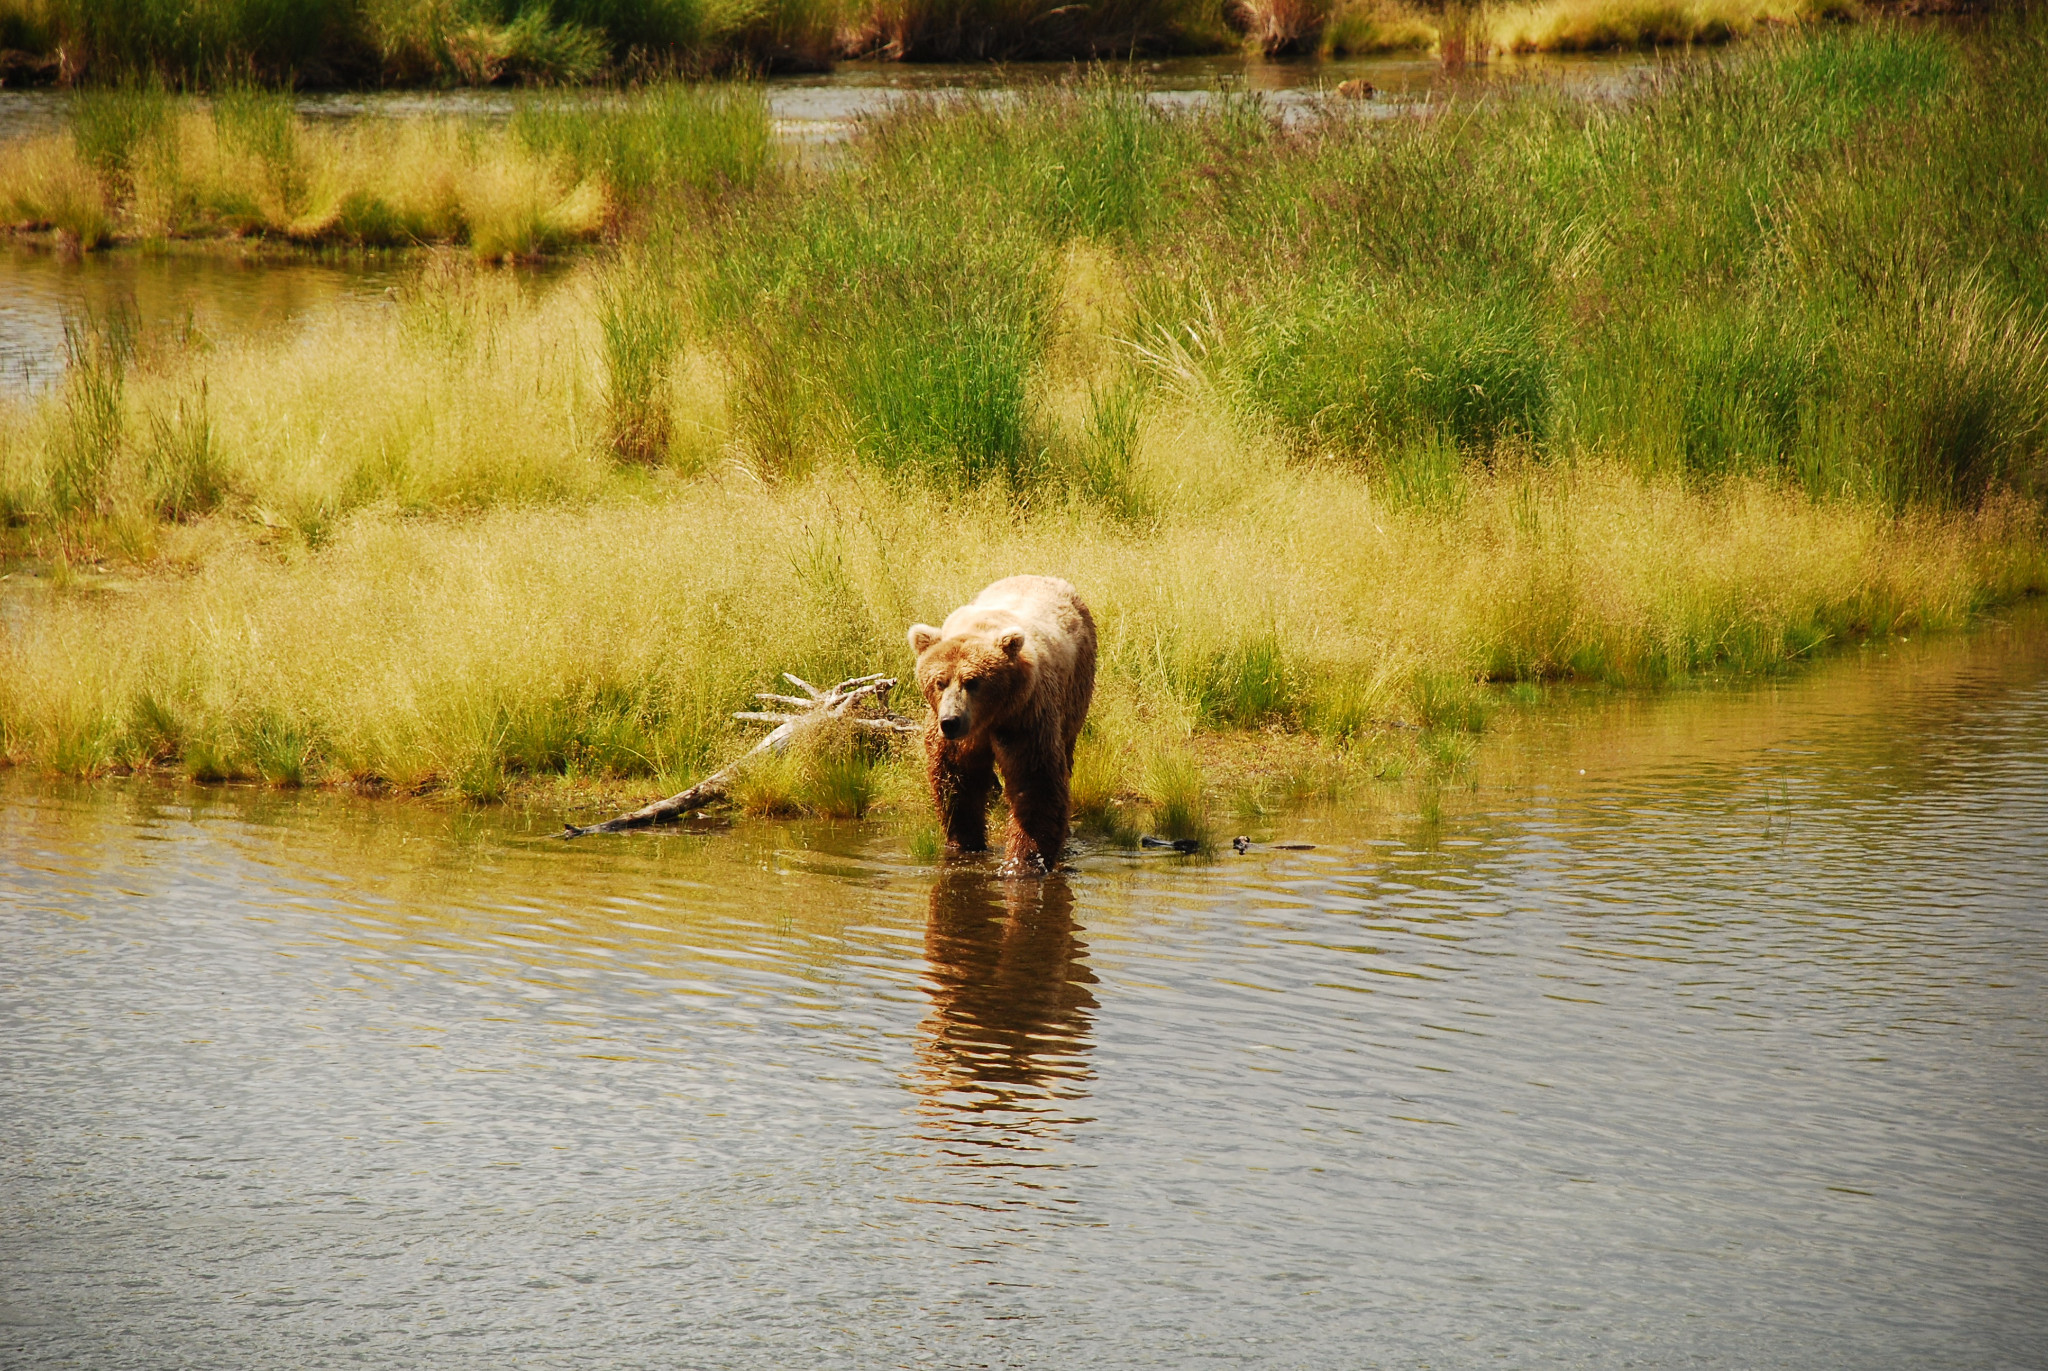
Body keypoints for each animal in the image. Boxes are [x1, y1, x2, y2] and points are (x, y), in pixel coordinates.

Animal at [909, 573, 1097, 873]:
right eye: (939, 681)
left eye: (972, 681)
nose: (951, 721)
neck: (987, 718)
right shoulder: (957, 739)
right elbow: (957, 780)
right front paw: (964, 842)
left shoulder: (1024, 718)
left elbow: (1036, 782)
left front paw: (1024, 861)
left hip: (1075, 692)